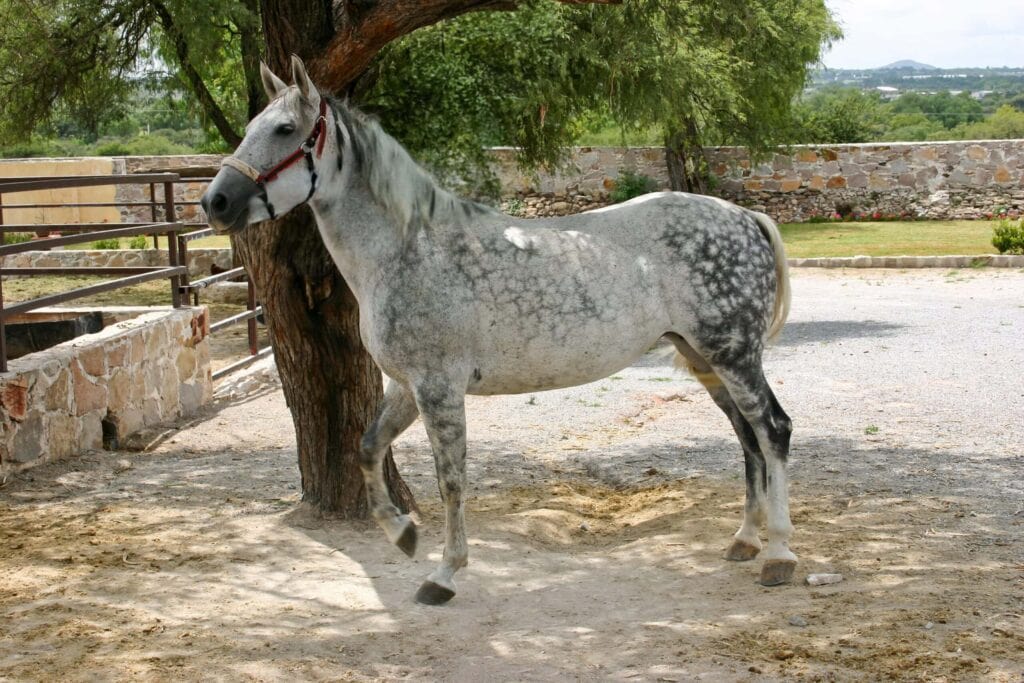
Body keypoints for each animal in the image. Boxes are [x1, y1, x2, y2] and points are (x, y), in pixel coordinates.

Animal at [201, 57, 797, 605]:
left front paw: (444, 574)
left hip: (733, 355)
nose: (215, 202)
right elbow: (368, 449)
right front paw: (402, 535)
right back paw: (745, 541)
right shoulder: (407, 386)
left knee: (772, 430)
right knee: (747, 437)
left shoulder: (439, 388)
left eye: (285, 129)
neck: (407, 249)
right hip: (704, 360)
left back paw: (779, 555)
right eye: (252, 125)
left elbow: (451, 480)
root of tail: (744, 216)